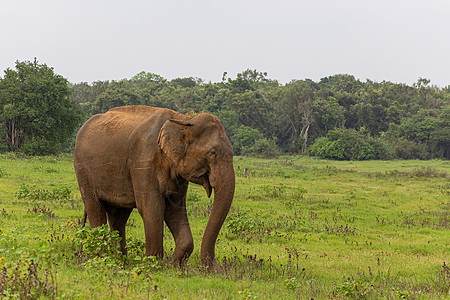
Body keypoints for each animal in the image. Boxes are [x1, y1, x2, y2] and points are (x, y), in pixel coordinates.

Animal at [74, 105, 236, 270]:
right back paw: (102, 262)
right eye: (213, 152)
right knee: (96, 210)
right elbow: (152, 208)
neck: (183, 119)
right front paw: (154, 266)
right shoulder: (143, 161)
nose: (214, 269)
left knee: (118, 217)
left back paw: (120, 263)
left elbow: (175, 210)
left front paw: (175, 265)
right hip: (82, 171)